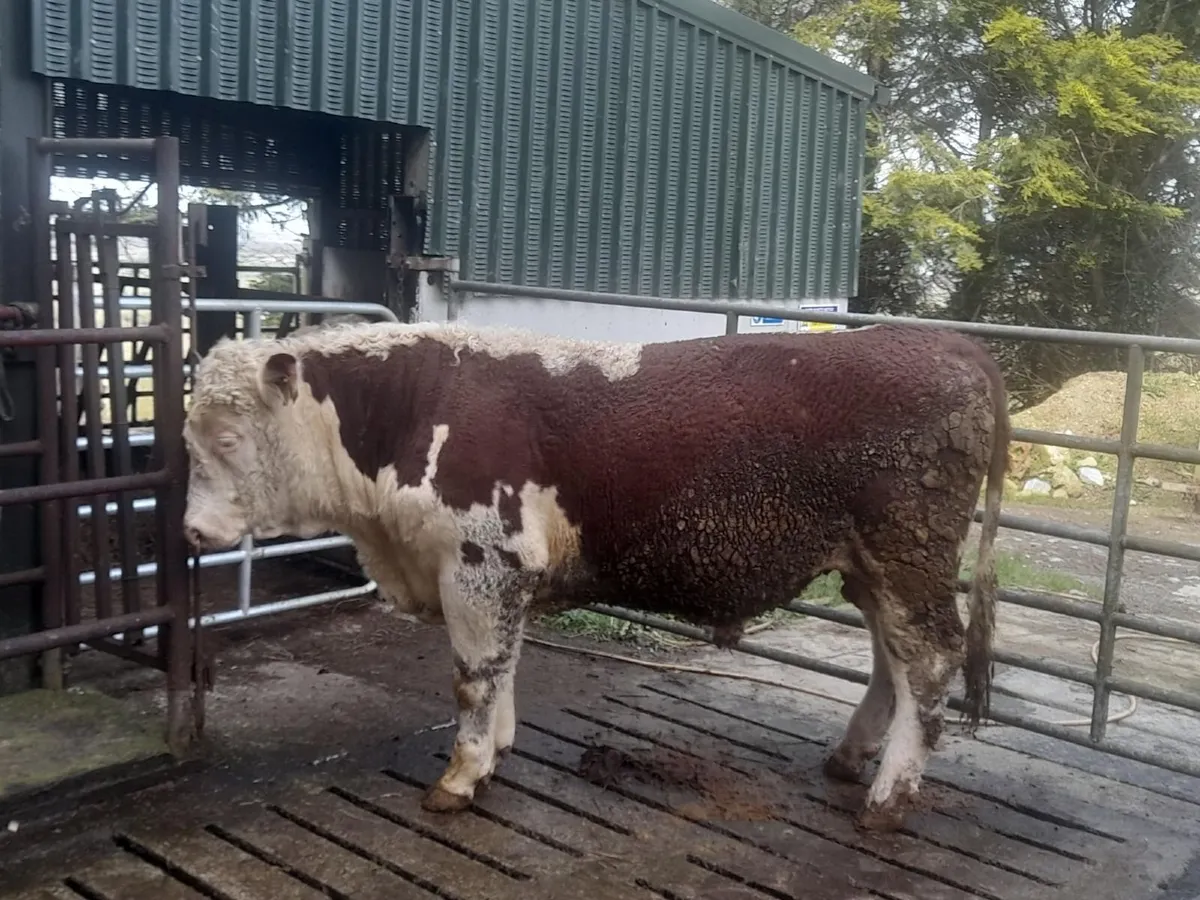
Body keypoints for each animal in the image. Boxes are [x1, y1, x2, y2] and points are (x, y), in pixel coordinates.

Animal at [182, 318, 1008, 832]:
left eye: (226, 437)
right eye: (187, 435)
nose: (193, 532)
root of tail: (944, 340)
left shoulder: (480, 561)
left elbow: (474, 678)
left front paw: (460, 777)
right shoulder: (502, 573)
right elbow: (505, 667)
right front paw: (497, 753)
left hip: (908, 554)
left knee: (929, 662)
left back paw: (887, 798)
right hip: (875, 566)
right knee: (890, 660)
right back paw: (849, 759)